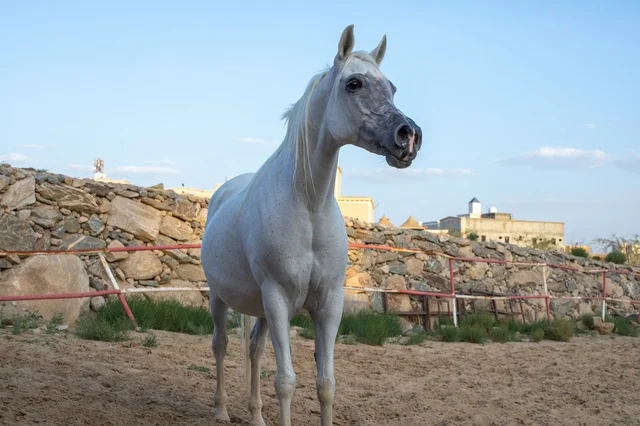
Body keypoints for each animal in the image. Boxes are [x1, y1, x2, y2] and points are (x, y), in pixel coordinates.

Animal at [201, 24, 422, 426]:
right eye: (354, 83)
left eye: (392, 87)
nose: (409, 135)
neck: (308, 207)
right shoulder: (277, 299)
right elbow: (286, 381)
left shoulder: (329, 304)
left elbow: (326, 383)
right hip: (219, 297)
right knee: (221, 345)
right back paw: (222, 409)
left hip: (258, 307)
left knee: (254, 350)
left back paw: (256, 417)